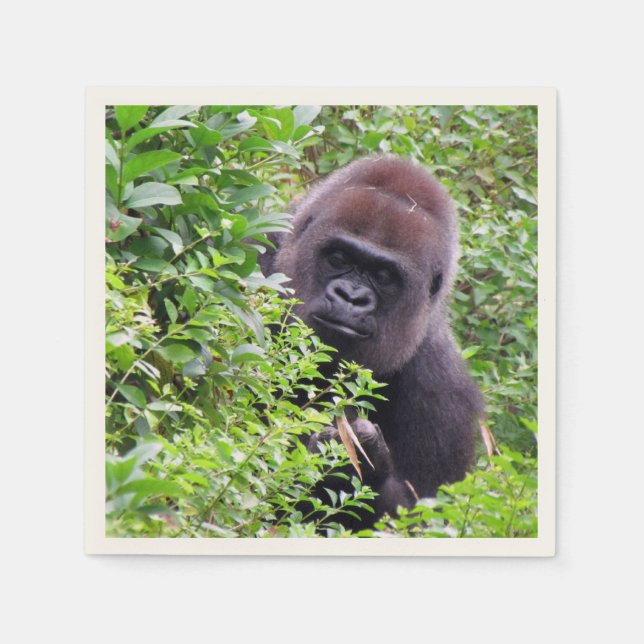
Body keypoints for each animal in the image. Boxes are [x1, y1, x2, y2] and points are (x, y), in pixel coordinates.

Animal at [261, 155, 483, 529]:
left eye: (383, 276)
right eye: (339, 258)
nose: (351, 298)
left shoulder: (444, 394)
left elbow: (421, 519)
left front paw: (363, 465)